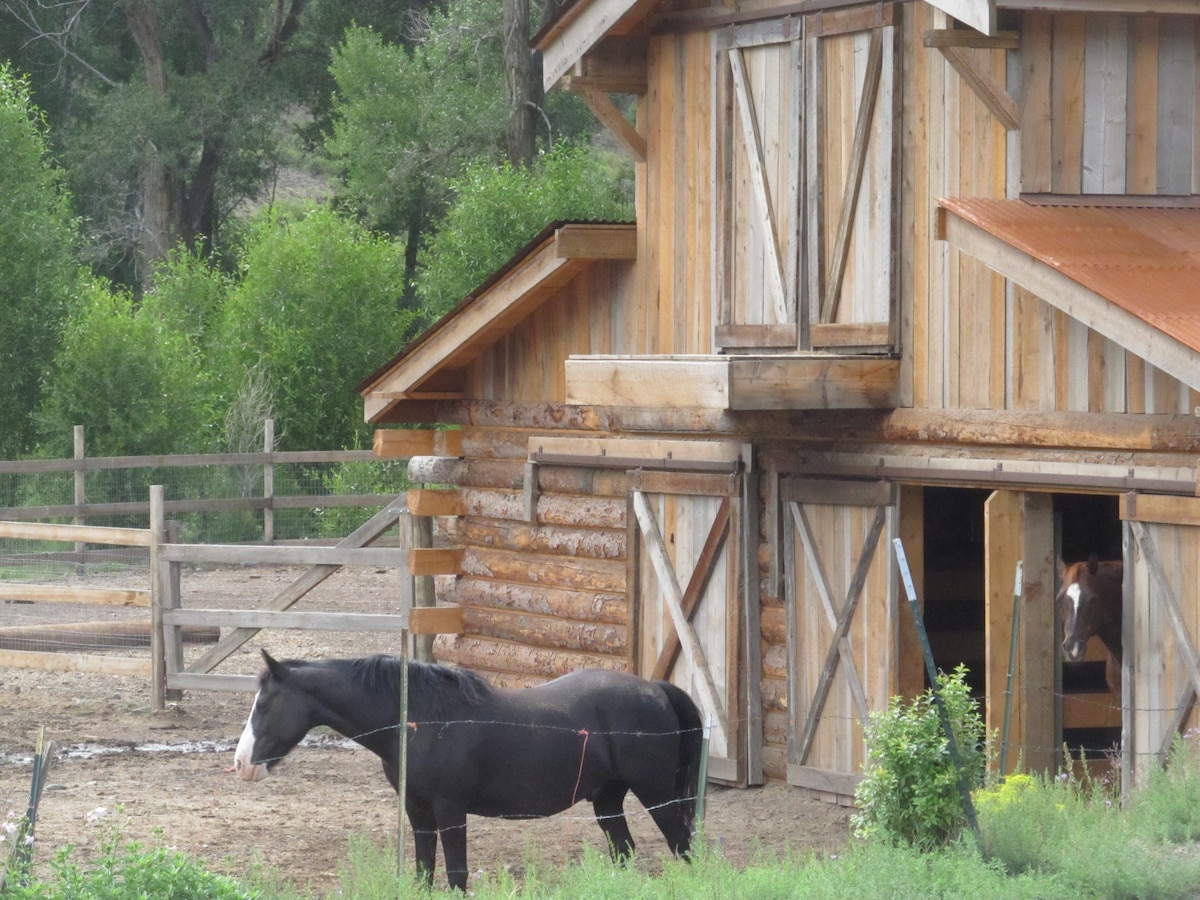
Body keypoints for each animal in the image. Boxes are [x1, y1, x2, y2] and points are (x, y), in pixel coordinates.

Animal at [231, 652, 700, 892]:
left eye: (265, 703)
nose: (241, 763)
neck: (421, 721)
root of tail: (656, 689)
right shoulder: (418, 810)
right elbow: (424, 871)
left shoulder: (449, 810)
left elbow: (456, 874)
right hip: (607, 799)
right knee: (626, 852)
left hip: (657, 794)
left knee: (683, 847)